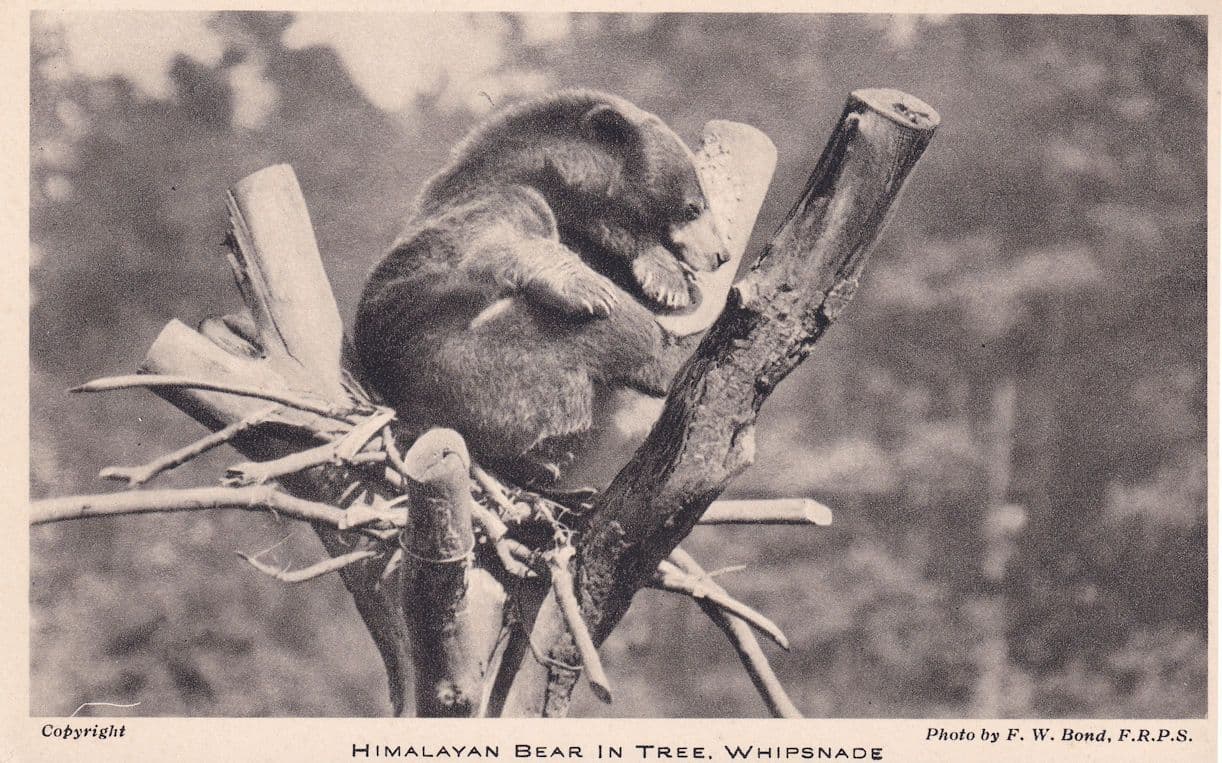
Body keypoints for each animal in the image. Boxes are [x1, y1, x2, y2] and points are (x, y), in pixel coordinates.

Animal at [354, 89, 726, 484]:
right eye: (693, 207)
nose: (722, 255)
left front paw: (668, 281)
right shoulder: (484, 205)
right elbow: (481, 242)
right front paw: (594, 288)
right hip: (477, 370)